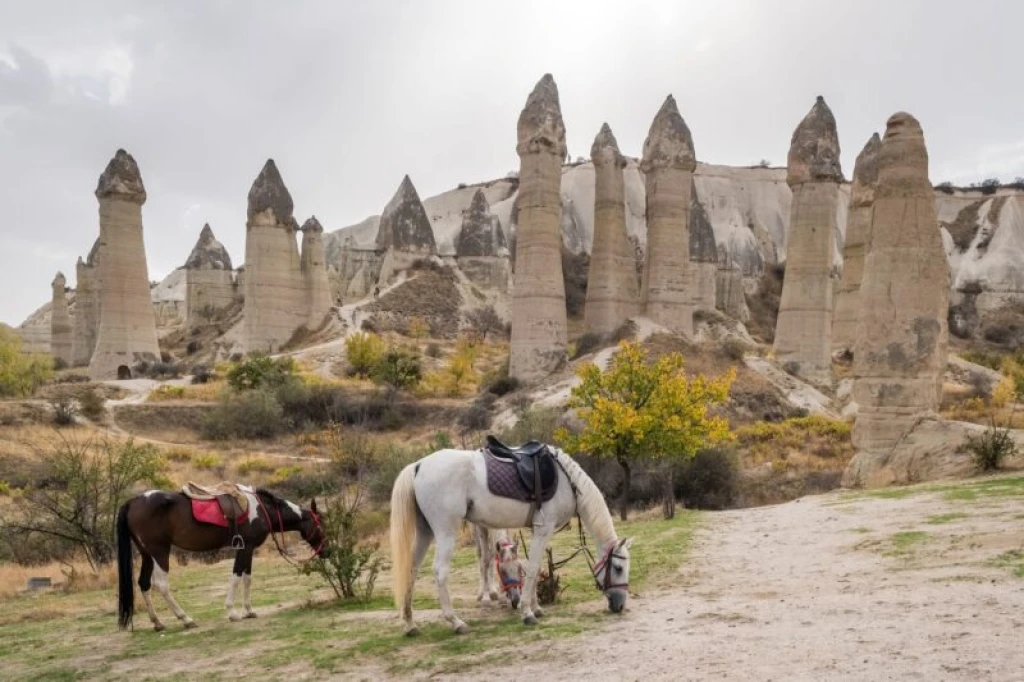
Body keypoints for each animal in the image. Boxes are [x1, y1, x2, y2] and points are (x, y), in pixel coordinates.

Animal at [116, 487, 327, 631]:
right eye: (321, 525)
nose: (327, 551)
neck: (260, 509)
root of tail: (132, 501)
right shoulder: (244, 548)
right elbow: (236, 577)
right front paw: (232, 612)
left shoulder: (248, 550)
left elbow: (247, 579)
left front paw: (249, 611)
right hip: (159, 552)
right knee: (161, 585)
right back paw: (185, 619)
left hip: (146, 554)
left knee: (144, 583)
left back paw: (158, 622)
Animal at [390, 445, 632, 634]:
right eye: (618, 568)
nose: (620, 605)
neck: (567, 482)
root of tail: (418, 465)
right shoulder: (545, 529)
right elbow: (533, 568)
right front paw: (527, 613)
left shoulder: (537, 530)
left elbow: (534, 567)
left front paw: (536, 608)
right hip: (445, 532)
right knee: (440, 572)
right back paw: (456, 622)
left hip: (425, 532)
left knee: (411, 569)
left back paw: (410, 624)